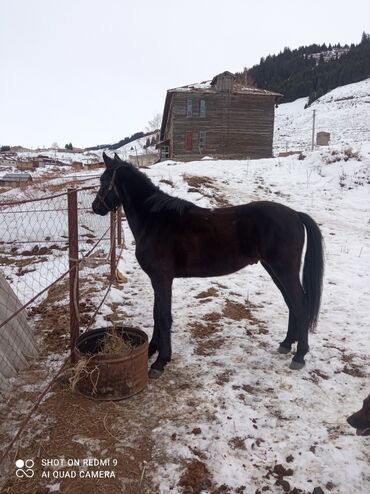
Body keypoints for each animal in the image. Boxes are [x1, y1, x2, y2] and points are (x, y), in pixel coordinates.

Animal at [92, 154, 324, 378]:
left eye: (104, 180)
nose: (96, 207)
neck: (154, 220)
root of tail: (295, 215)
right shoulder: (157, 280)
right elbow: (156, 313)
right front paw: (151, 350)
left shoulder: (162, 278)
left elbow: (163, 316)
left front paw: (160, 362)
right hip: (274, 269)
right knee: (291, 304)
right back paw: (286, 344)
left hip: (284, 270)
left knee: (300, 305)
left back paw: (299, 355)